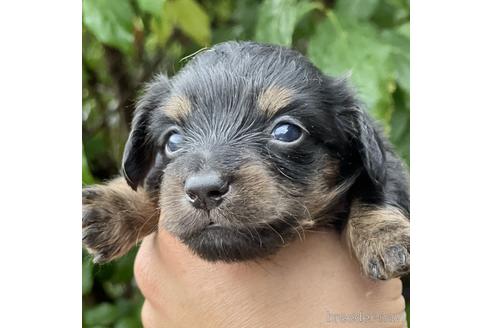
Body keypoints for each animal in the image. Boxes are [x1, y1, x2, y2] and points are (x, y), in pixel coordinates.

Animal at [82, 41, 410, 280]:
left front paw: (385, 237)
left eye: (287, 131)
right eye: (173, 140)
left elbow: (373, 190)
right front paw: (109, 207)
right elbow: (153, 185)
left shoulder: (387, 166)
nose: (203, 191)